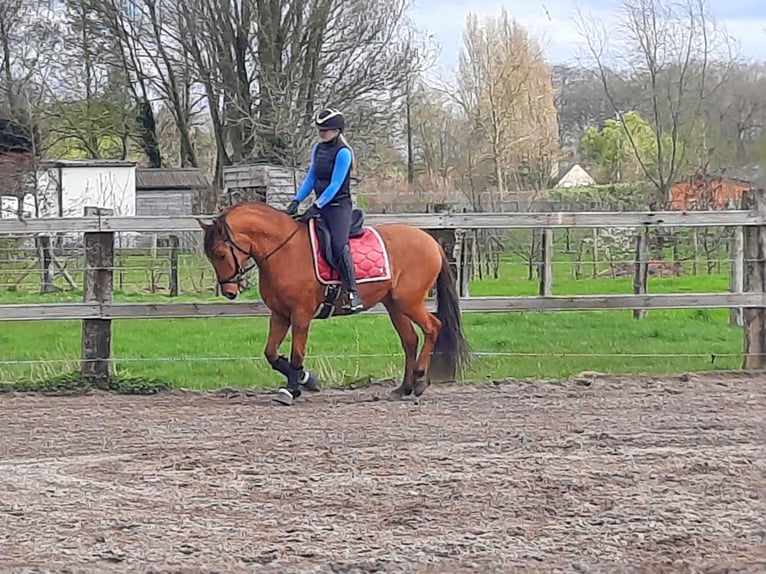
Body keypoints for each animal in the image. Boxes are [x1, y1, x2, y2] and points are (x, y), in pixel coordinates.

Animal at [196, 201, 474, 404]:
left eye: (220, 254)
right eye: (210, 255)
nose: (229, 291)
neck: (284, 250)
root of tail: (430, 241)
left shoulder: (301, 314)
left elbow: (296, 353)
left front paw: (292, 389)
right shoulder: (280, 314)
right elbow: (271, 354)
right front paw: (306, 378)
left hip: (409, 301)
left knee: (432, 328)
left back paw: (418, 380)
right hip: (395, 305)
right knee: (410, 340)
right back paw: (404, 388)